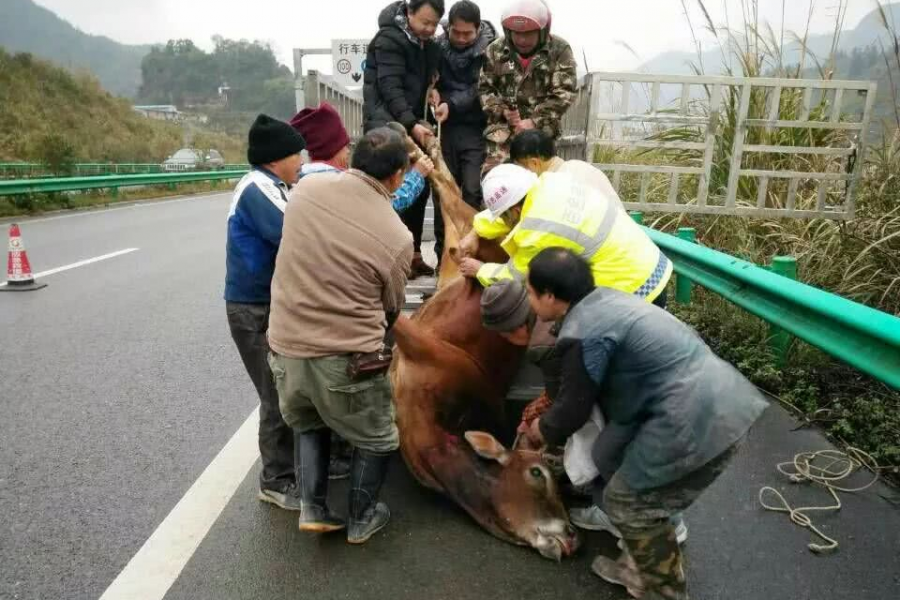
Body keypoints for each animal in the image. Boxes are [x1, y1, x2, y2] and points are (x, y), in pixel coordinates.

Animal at [390, 129, 580, 560]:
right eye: (537, 473)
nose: (571, 537)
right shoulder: (417, 349)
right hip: (467, 231)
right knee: (451, 196)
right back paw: (413, 140)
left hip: (464, 235)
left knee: (451, 191)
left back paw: (419, 141)